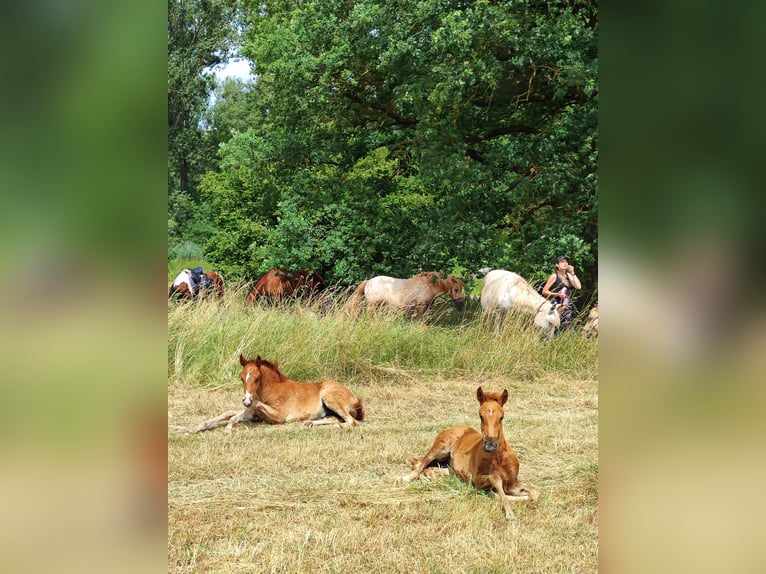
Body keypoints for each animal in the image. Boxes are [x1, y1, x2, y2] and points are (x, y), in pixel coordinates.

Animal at [190, 354, 364, 433]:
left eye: (257, 378)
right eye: (241, 378)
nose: (246, 400)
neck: (272, 390)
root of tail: (355, 398)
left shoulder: (278, 417)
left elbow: (248, 408)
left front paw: (228, 428)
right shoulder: (255, 413)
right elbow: (229, 412)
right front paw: (195, 428)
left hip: (330, 398)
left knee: (351, 422)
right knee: (335, 418)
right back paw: (310, 423)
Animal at [401, 387, 540, 521]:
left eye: (502, 416)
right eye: (480, 415)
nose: (490, 444)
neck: (498, 458)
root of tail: (455, 428)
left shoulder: (513, 482)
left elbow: (535, 492)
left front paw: (523, 495)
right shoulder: (478, 480)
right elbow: (495, 480)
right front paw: (509, 513)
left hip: (449, 467)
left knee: (430, 468)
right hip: (440, 448)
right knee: (420, 463)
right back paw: (406, 478)